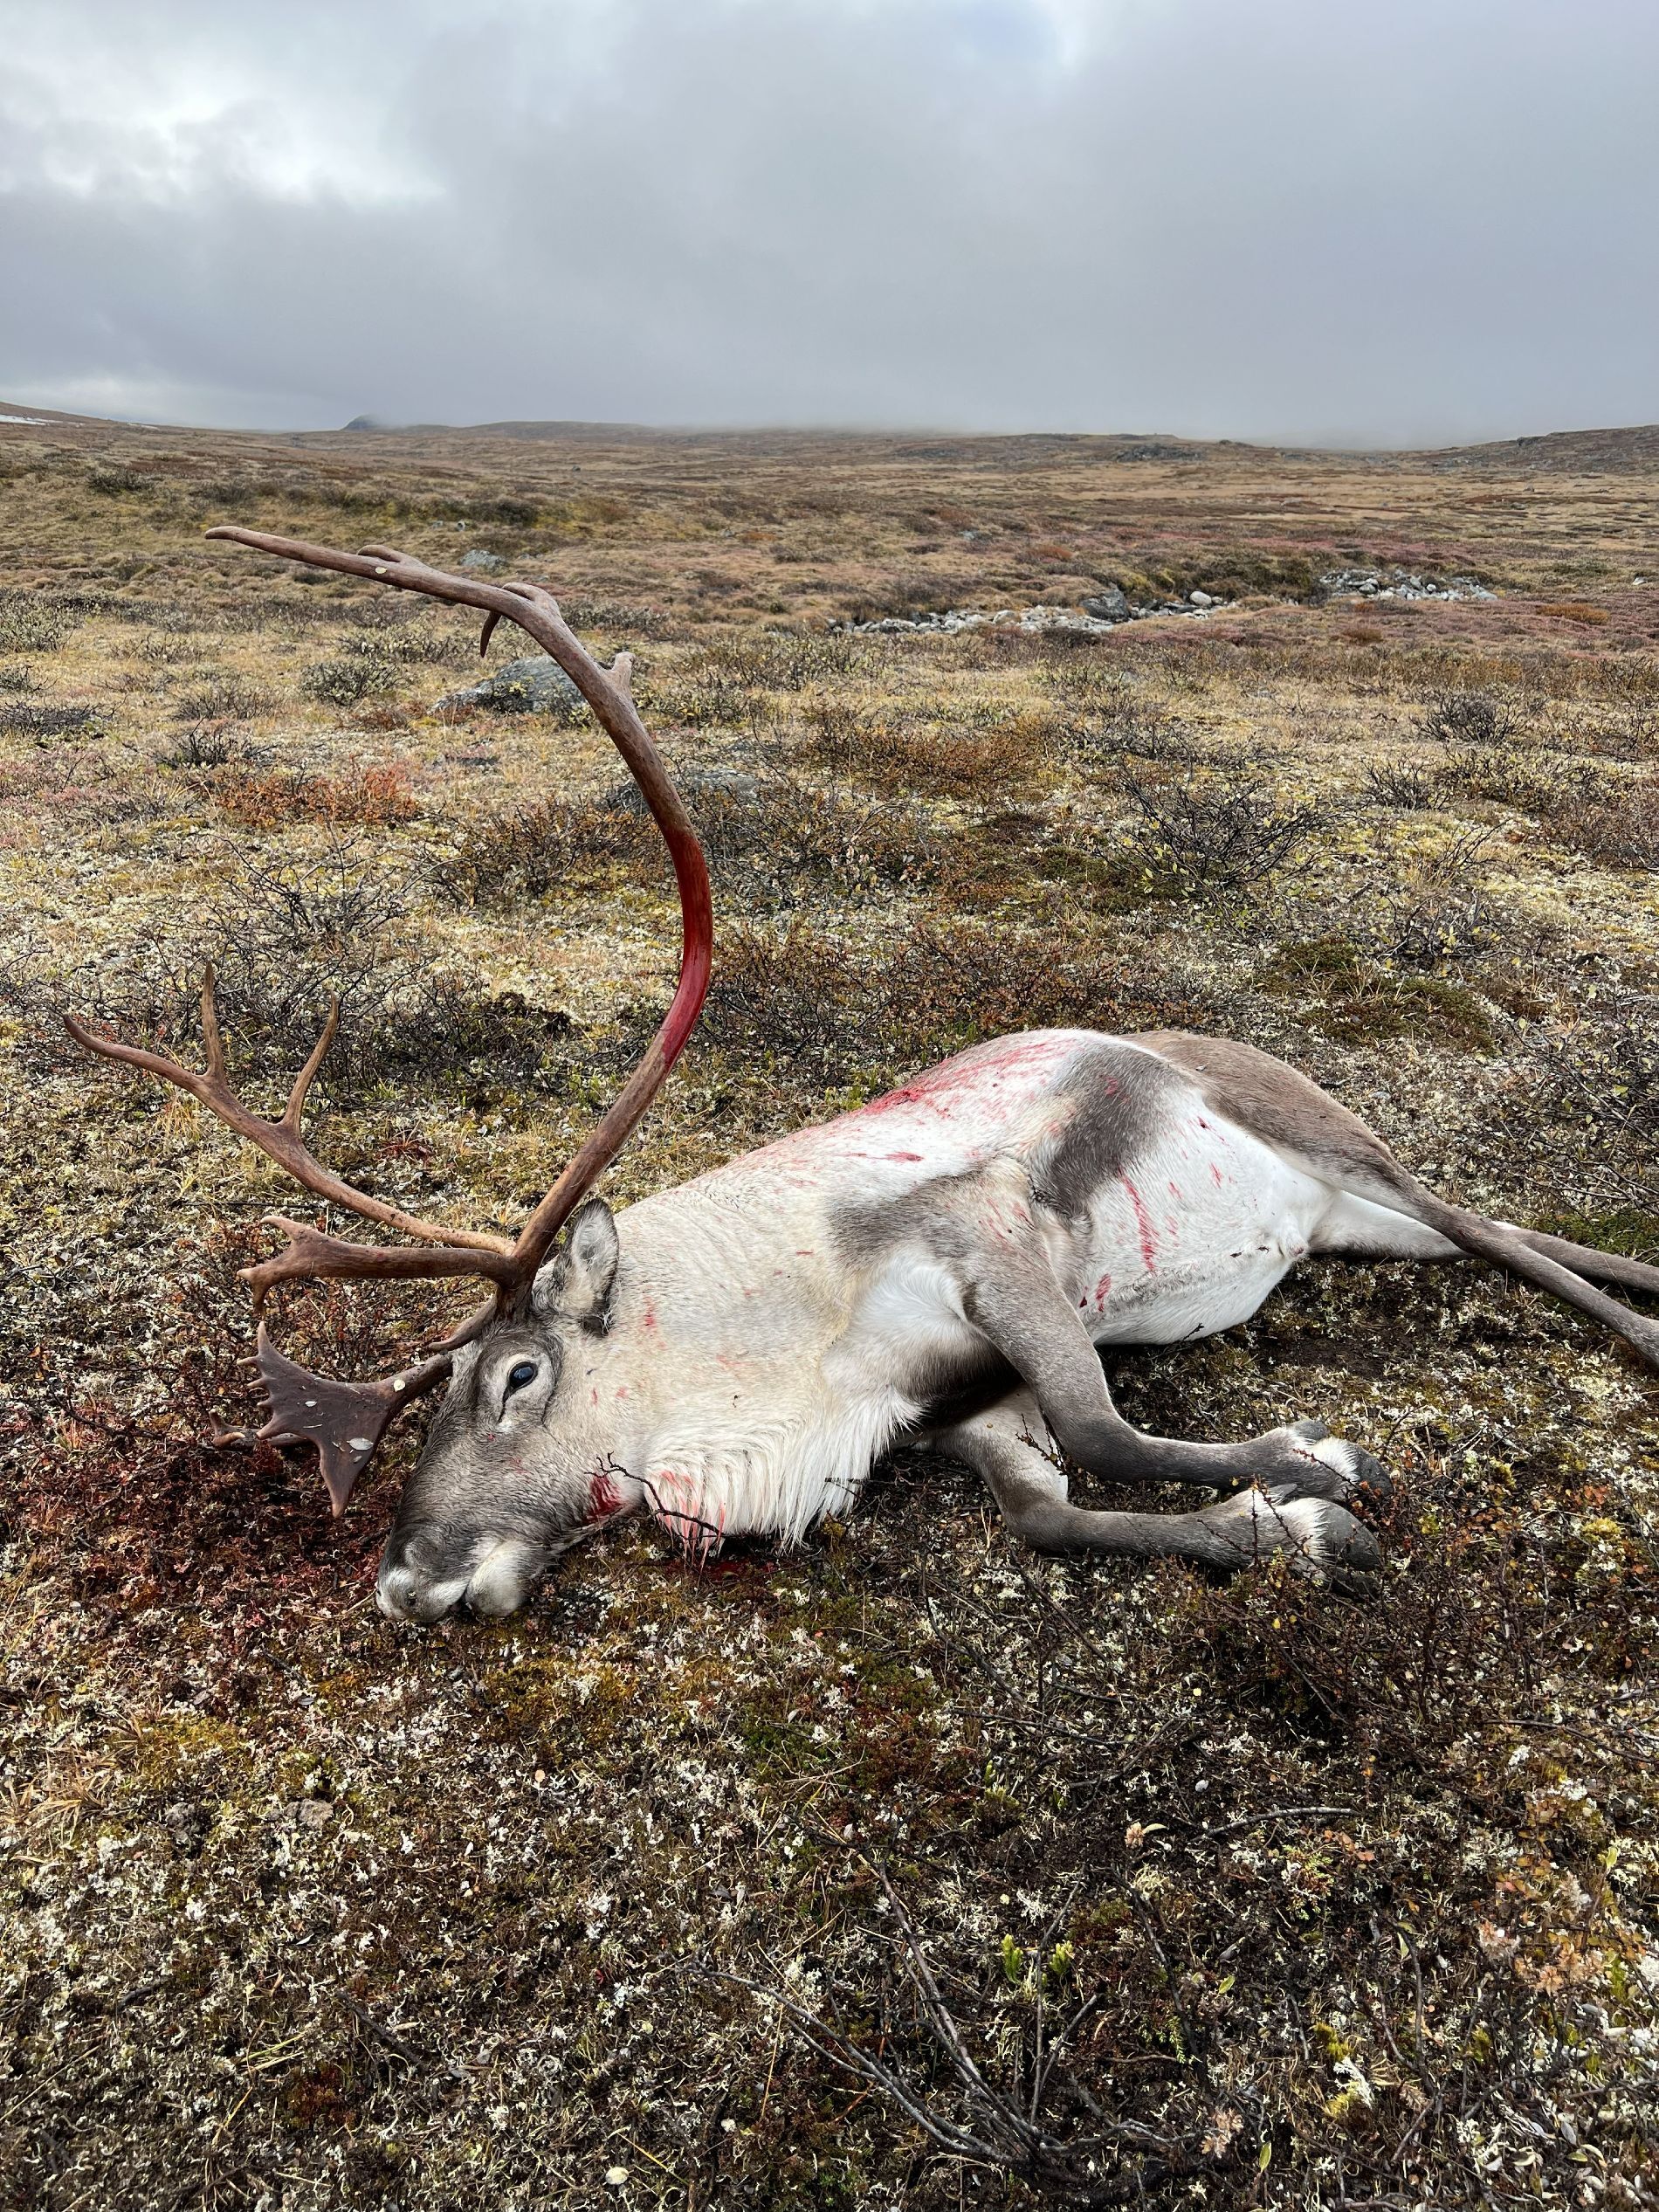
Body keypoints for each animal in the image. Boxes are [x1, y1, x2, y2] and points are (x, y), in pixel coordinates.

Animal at [67, 528, 1659, 1624]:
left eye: (514, 1373)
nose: (407, 1585)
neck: (784, 1348)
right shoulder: (961, 1412)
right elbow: (1055, 1511)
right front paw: (1283, 1528)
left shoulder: (997, 1245)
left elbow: (1110, 1429)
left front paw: (1314, 1466)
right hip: (1347, 1220)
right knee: (1517, 1232)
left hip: (1333, 1143)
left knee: (1508, 1237)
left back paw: (1640, 1331)